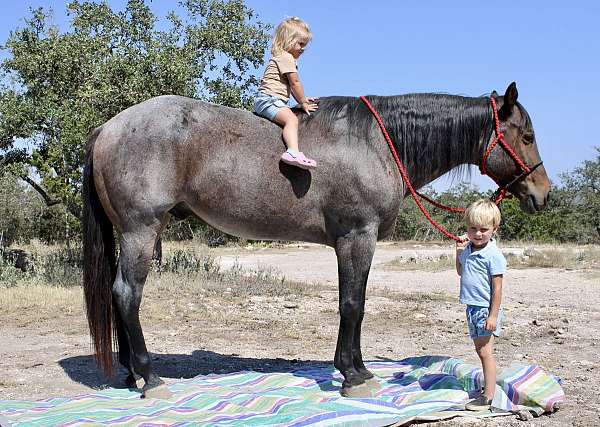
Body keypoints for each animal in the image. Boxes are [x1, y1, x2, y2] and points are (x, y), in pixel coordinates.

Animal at [82, 83, 552, 398]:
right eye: (527, 136)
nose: (543, 194)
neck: (376, 142)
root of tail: (108, 127)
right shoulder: (356, 237)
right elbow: (352, 304)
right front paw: (353, 376)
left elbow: (354, 304)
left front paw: (357, 369)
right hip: (141, 230)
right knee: (127, 294)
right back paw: (150, 377)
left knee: (119, 295)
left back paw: (131, 374)